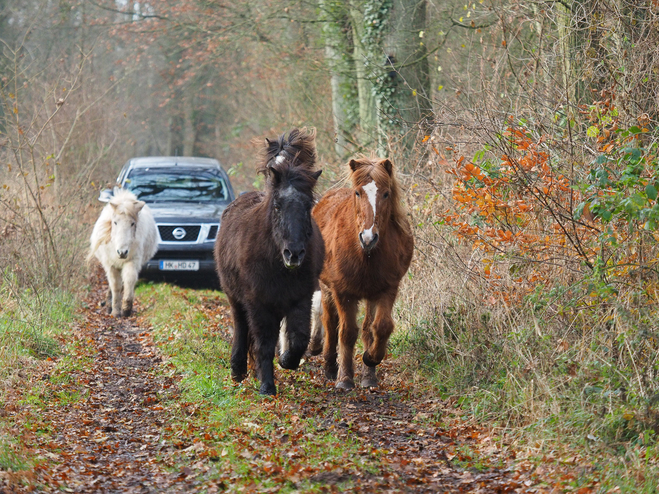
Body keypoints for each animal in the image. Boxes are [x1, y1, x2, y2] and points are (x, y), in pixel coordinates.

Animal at [89, 187, 159, 318]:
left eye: (132, 223)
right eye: (115, 222)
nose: (122, 252)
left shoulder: (132, 261)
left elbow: (129, 280)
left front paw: (126, 309)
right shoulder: (110, 264)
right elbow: (116, 286)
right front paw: (115, 311)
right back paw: (108, 305)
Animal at [215, 127, 326, 394]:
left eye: (308, 206)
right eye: (277, 205)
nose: (293, 254)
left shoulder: (300, 299)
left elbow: (299, 338)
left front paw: (287, 361)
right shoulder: (259, 303)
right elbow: (264, 343)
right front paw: (266, 385)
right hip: (237, 299)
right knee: (242, 328)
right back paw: (238, 370)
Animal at [314, 156, 412, 388]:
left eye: (386, 193)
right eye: (358, 193)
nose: (368, 237)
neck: (365, 254)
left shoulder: (386, 290)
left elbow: (380, 327)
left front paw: (371, 360)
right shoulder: (343, 293)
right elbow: (347, 333)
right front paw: (344, 379)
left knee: (368, 328)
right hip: (327, 289)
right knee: (330, 324)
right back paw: (330, 366)